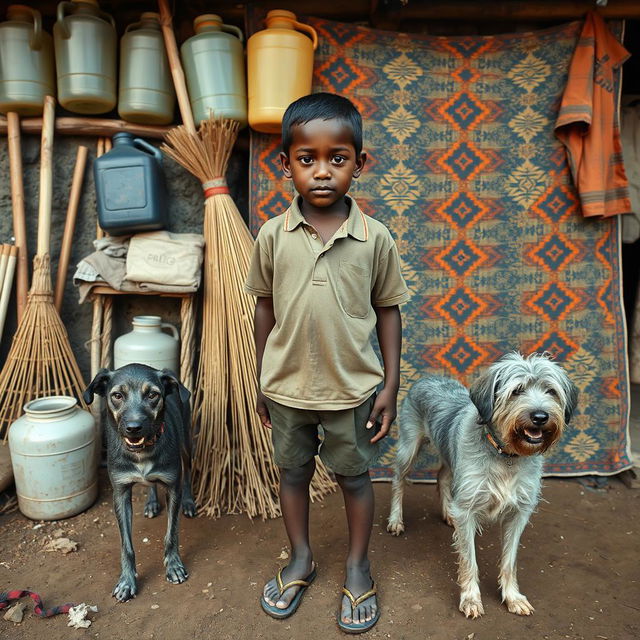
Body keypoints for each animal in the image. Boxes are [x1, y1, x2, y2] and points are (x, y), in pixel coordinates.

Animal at [84, 362, 196, 604]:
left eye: (153, 395)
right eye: (117, 395)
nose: (134, 428)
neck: (142, 451)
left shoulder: (173, 488)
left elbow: (171, 534)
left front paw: (173, 566)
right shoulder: (120, 493)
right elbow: (126, 546)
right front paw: (127, 581)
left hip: (186, 443)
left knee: (188, 472)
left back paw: (189, 502)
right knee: (150, 483)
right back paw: (152, 503)